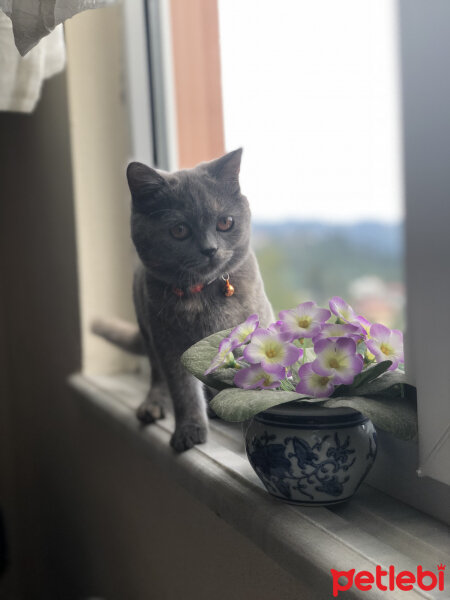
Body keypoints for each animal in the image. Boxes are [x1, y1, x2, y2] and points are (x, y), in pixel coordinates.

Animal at [93, 149, 272, 450]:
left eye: (225, 223)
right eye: (179, 230)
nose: (210, 249)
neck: (203, 294)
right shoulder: (169, 343)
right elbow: (182, 390)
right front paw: (189, 431)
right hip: (147, 329)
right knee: (157, 377)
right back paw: (154, 405)